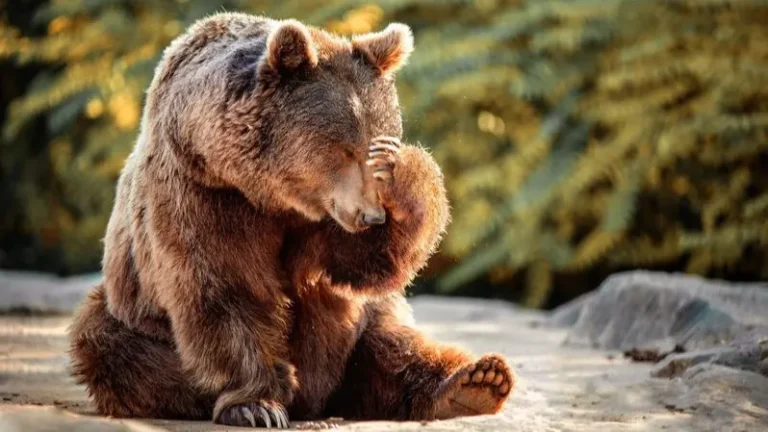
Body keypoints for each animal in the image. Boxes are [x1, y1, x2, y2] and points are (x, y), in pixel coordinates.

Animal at [68, 12, 514, 428]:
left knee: (391, 341)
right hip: (133, 315)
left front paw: (399, 170)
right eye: (344, 148)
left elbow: (363, 265)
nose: (371, 216)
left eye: (377, 141)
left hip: (367, 327)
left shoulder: (322, 220)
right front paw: (256, 404)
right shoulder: (203, 193)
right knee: (113, 346)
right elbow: (227, 288)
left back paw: (475, 382)